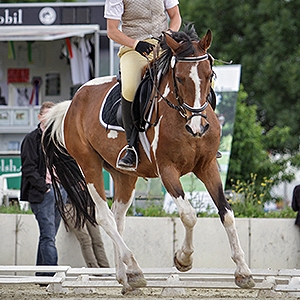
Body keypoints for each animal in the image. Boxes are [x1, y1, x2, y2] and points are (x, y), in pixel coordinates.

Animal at [42, 28, 254, 292]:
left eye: (210, 75)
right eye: (180, 78)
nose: (198, 127)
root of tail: (73, 102)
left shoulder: (207, 167)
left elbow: (227, 214)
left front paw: (243, 272)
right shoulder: (167, 170)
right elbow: (189, 215)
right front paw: (183, 259)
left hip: (123, 175)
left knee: (117, 217)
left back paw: (127, 277)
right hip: (88, 165)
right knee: (104, 217)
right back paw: (134, 268)